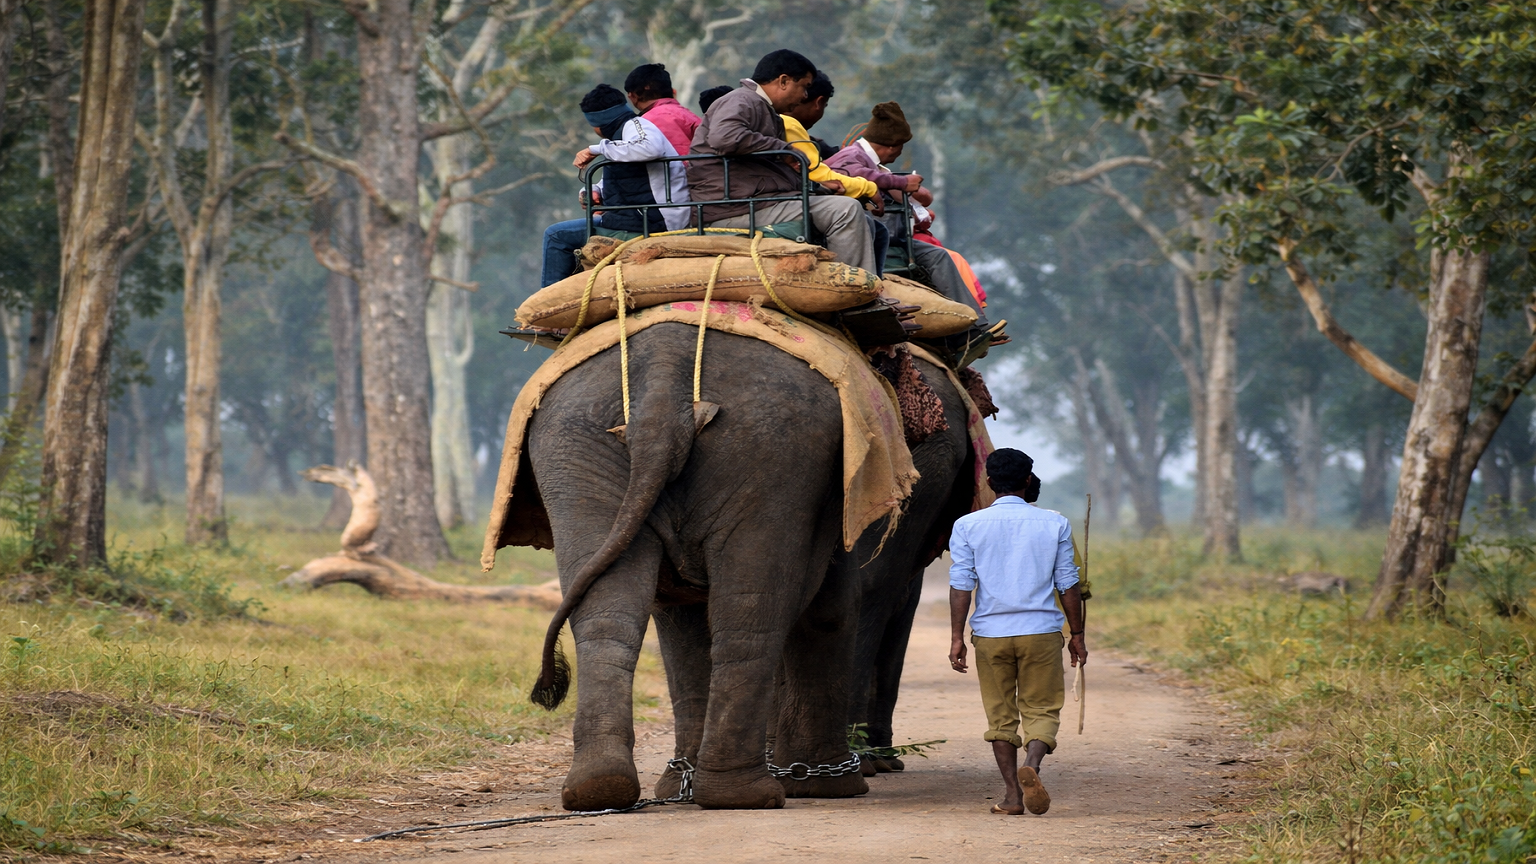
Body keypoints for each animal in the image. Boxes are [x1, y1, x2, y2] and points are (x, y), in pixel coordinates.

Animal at [524, 322, 870, 811]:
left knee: (607, 612)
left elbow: (678, 613)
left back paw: (601, 788)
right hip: (771, 450)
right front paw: (829, 788)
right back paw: (746, 795)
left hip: (575, 450)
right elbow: (831, 607)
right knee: (752, 610)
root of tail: (663, 377)